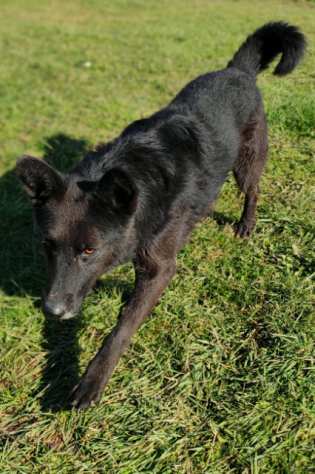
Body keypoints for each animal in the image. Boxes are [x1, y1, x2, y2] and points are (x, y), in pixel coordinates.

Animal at [15, 21, 306, 408]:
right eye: (48, 246)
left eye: (89, 250)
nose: (52, 310)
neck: (140, 188)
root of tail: (237, 70)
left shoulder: (159, 268)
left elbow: (122, 328)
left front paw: (92, 381)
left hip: (247, 163)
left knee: (254, 190)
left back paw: (247, 224)